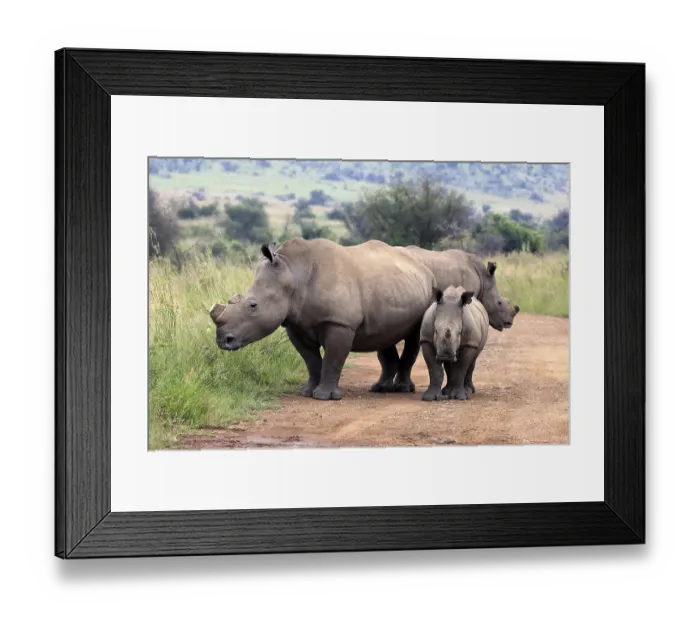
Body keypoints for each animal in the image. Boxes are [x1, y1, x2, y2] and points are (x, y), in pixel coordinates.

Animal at [209, 237, 436, 400]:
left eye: (253, 305)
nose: (223, 340)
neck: (293, 273)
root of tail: (421, 266)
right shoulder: (295, 323)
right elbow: (311, 360)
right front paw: (307, 392)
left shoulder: (340, 323)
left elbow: (332, 360)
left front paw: (324, 397)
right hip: (394, 287)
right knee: (384, 334)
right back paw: (380, 389)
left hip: (428, 290)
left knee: (413, 337)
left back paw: (402, 390)